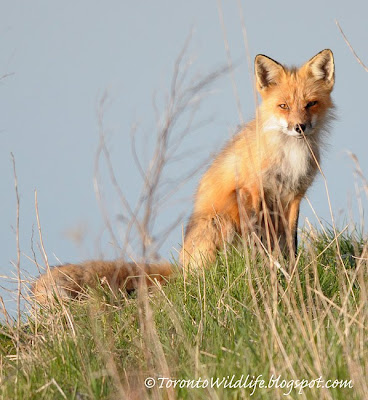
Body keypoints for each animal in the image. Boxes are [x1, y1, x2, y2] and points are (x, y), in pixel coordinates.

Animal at [33, 50, 334, 304]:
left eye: (311, 104)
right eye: (283, 106)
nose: (299, 127)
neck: (289, 154)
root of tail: (182, 268)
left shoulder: (294, 196)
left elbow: (290, 243)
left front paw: (289, 269)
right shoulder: (251, 191)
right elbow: (259, 240)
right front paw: (266, 269)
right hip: (220, 221)